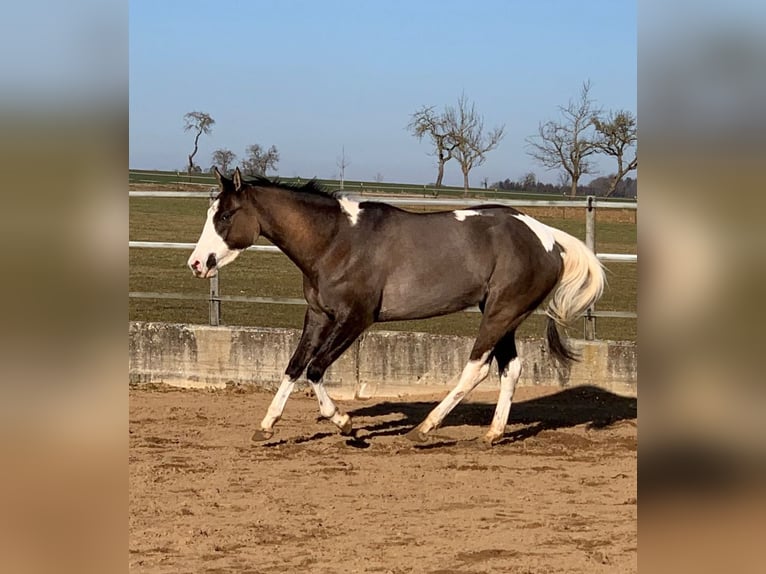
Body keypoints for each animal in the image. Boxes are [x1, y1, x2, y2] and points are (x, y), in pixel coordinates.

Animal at [188, 167, 605, 445]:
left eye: (225, 215)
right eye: (210, 214)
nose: (197, 263)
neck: (335, 242)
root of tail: (548, 238)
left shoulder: (356, 319)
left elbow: (316, 369)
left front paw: (345, 423)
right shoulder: (318, 315)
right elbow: (294, 366)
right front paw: (266, 426)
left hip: (500, 313)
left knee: (477, 367)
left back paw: (424, 429)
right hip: (505, 315)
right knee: (510, 369)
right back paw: (492, 433)